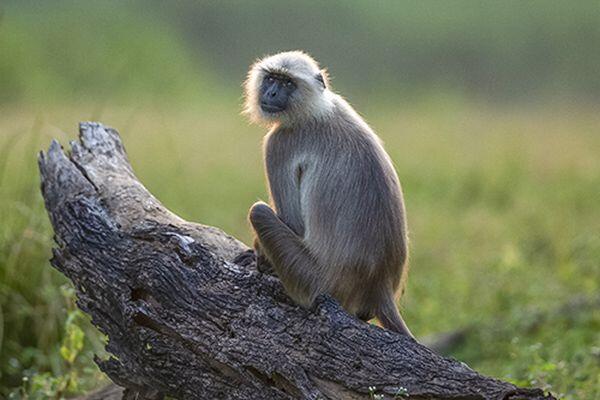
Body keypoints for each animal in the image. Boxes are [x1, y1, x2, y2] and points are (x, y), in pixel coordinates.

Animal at [239, 50, 412, 338]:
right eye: (272, 79)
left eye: (287, 83)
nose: (272, 93)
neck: (314, 110)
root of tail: (379, 284)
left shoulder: (279, 143)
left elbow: (294, 224)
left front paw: (258, 259)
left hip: (309, 278)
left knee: (259, 211)